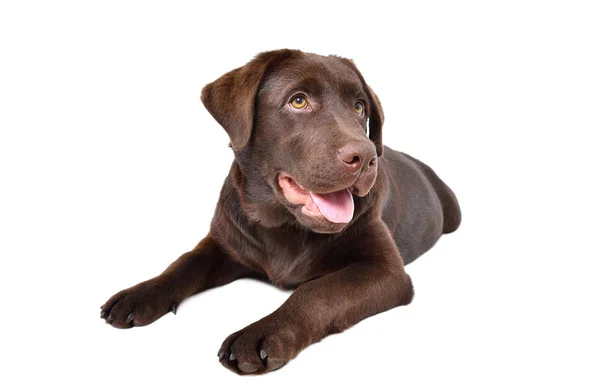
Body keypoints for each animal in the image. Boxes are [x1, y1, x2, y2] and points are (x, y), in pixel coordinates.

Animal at [101, 49, 462, 374]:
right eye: (298, 101)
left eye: (360, 107)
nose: (366, 157)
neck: (284, 224)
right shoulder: (223, 242)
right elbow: (184, 262)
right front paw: (139, 294)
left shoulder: (385, 270)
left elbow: (316, 291)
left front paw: (263, 334)